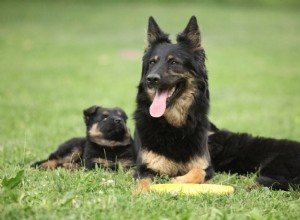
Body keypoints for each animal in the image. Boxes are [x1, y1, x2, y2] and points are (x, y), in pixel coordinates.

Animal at [134, 15, 213, 191]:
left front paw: (176, 181)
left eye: (173, 62)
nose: (151, 79)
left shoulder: (207, 167)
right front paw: (139, 193)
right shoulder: (144, 168)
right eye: (152, 62)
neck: (173, 127)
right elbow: (143, 182)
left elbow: (198, 172)